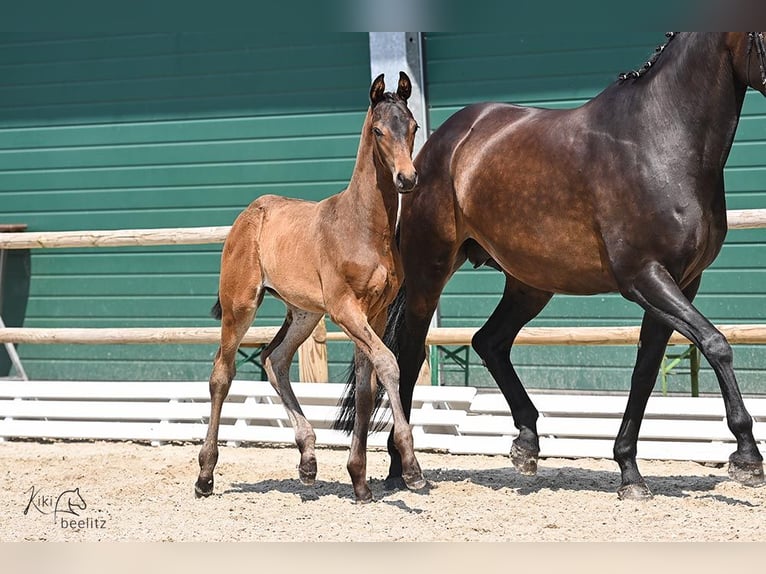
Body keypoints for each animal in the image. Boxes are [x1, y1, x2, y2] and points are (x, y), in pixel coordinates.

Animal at [195, 72, 426, 504]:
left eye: (414, 127)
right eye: (378, 130)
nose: (407, 179)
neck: (365, 227)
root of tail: (249, 213)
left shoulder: (374, 312)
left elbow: (366, 388)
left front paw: (359, 481)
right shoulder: (344, 309)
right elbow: (389, 363)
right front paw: (412, 468)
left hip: (304, 312)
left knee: (275, 359)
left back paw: (307, 461)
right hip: (240, 305)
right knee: (223, 372)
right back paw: (204, 476)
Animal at [340, 32, 766, 500]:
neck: (661, 140)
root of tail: (435, 148)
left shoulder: (682, 284)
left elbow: (646, 371)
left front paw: (630, 472)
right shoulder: (646, 278)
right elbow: (716, 344)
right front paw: (747, 457)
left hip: (529, 284)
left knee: (490, 342)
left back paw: (526, 444)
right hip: (429, 275)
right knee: (412, 355)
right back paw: (401, 469)